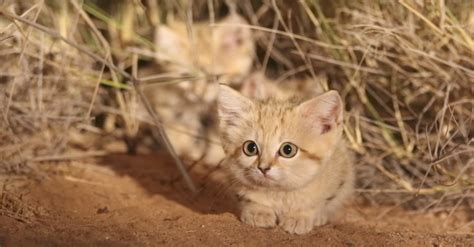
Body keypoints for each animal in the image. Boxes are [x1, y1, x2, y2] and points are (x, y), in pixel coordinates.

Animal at [217, 85, 354, 233]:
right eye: (250, 148)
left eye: (288, 150)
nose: (263, 168)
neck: (279, 193)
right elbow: (250, 198)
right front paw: (259, 211)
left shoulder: (339, 175)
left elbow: (318, 202)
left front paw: (300, 216)